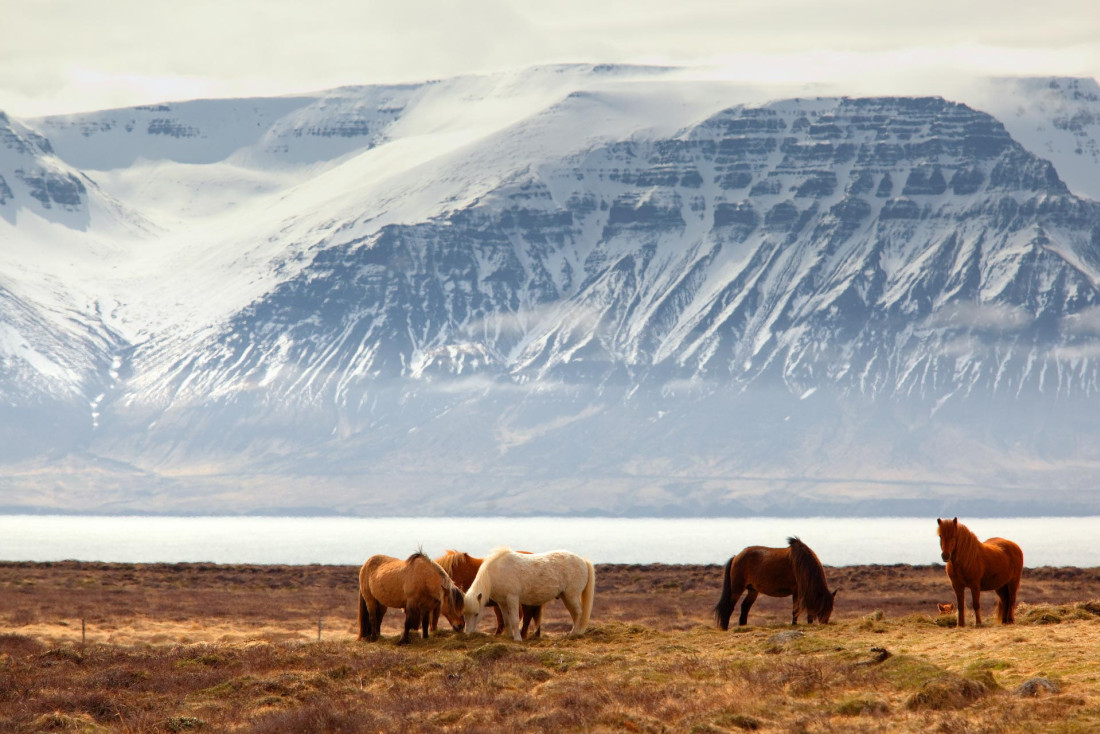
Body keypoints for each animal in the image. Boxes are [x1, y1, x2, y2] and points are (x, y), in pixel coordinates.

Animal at [463, 547, 595, 641]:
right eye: (464, 614)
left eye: (476, 614)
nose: (467, 634)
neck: (497, 571)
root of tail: (583, 561)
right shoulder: (502, 602)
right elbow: (507, 620)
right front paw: (509, 637)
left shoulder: (512, 599)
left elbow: (515, 620)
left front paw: (517, 639)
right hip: (566, 597)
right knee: (574, 614)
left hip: (571, 596)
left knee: (579, 612)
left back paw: (574, 634)